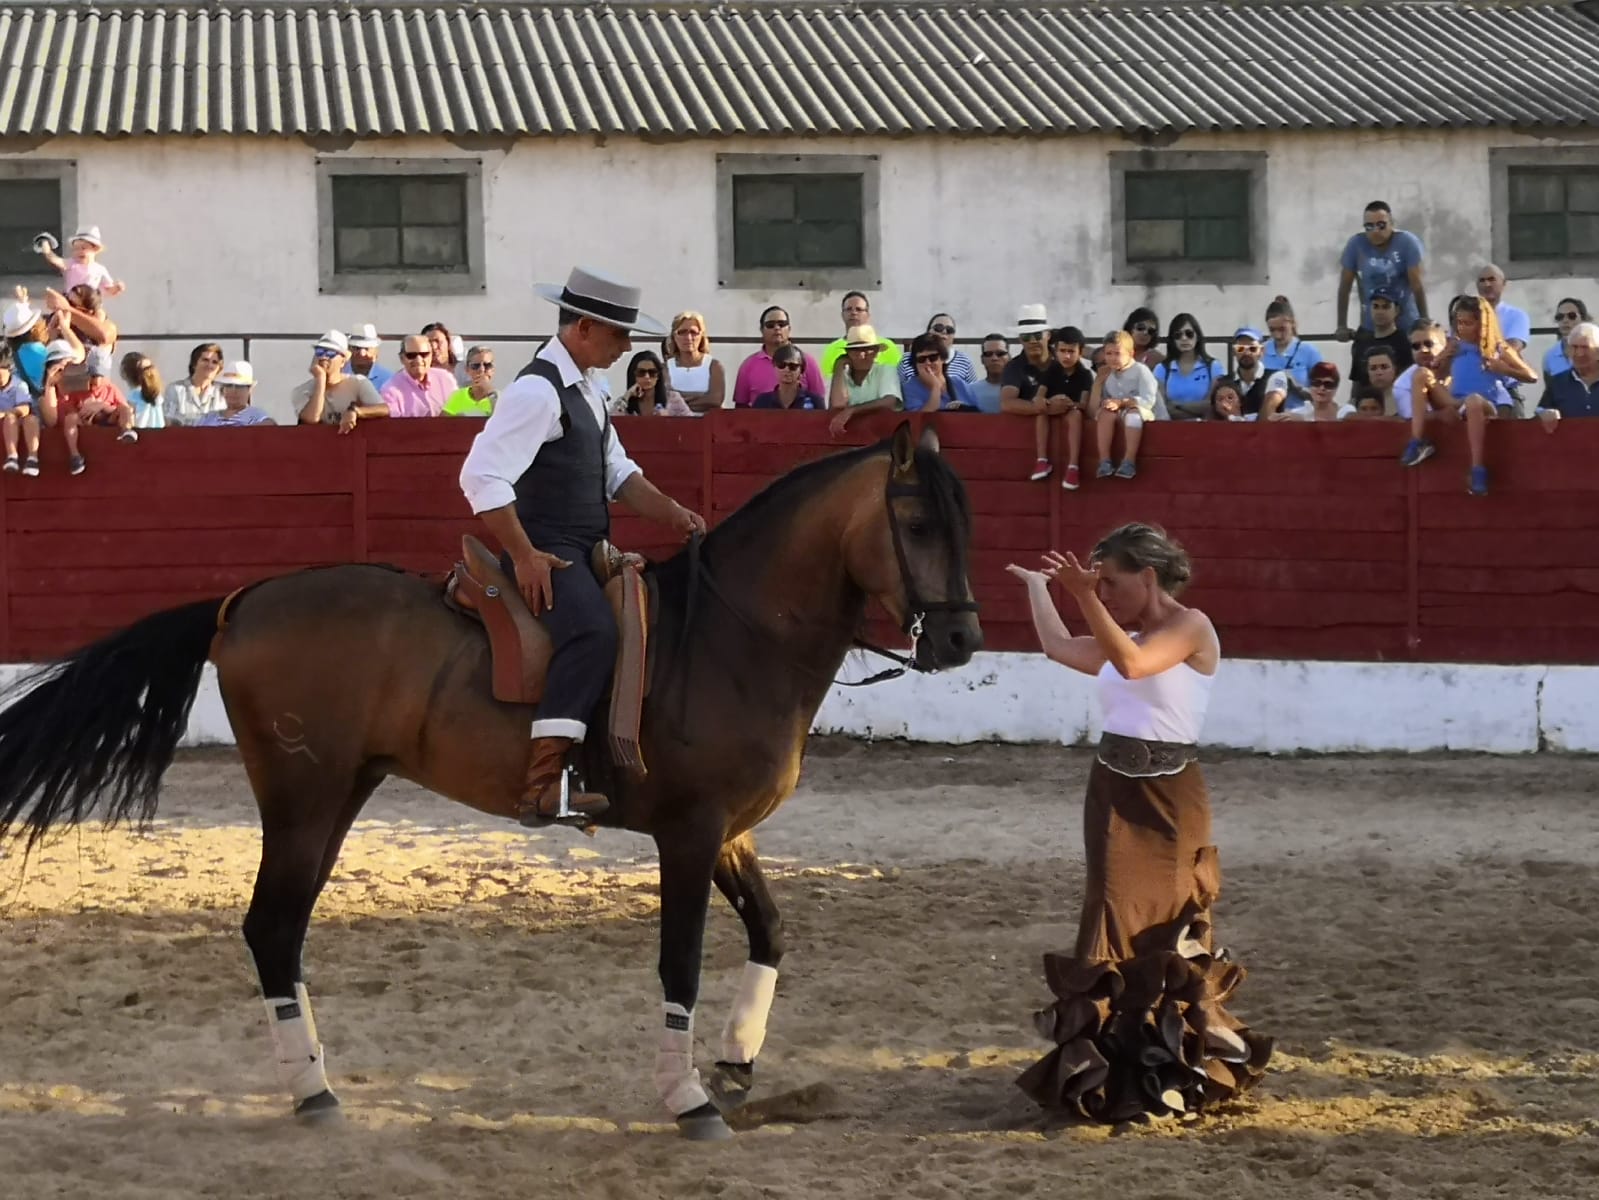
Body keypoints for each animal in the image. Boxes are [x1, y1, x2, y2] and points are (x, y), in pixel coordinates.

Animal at [0, 422, 978, 1145]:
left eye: (961, 522)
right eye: (917, 524)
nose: (962, 640)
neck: (729, 636)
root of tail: (243, 602)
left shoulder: (731, 831)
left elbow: (771, 931)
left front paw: (736, 1063)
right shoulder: (690, 834)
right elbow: (681, 963)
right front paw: (690, 1098)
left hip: (338, 797)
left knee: (282, 928)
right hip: (302, 800)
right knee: (273, 928)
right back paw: (314, 1094)